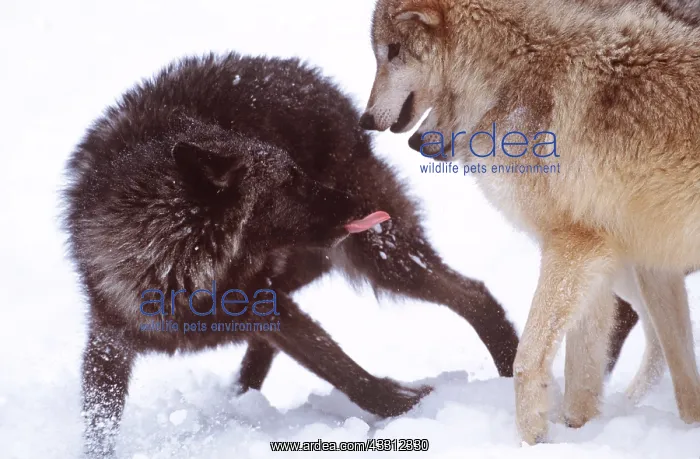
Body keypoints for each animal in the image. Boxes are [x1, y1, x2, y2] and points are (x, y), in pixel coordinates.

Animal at [63, 52, 523, 457]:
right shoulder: (107, 344)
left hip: (380, 258)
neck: (179, 270)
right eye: (291, 182)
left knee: (473, 293)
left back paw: (509, 368)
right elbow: (98, 429)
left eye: (296, 171)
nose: (361, 206)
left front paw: (415, 407)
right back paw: (238, 397)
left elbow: (351, 376)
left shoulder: (268, 305)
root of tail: (333, 94)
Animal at [363, 0, 700, 444]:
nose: (366, 120)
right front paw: (576, 433)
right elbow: (582, 376)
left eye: (393, 52)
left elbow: (527, 358)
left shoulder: (573, 246)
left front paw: (532, 437)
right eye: (381, 53)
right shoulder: (595, 257)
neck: (513, 75)